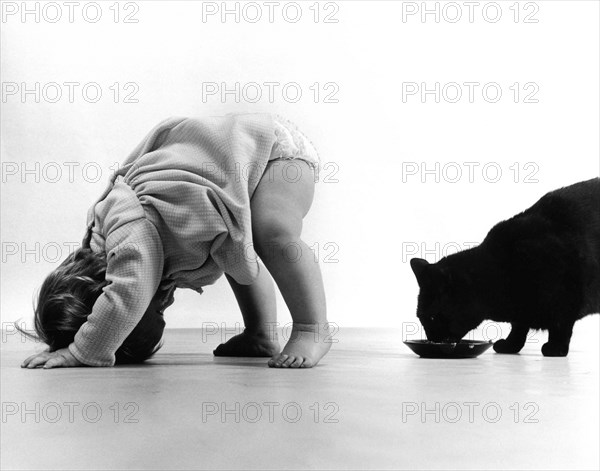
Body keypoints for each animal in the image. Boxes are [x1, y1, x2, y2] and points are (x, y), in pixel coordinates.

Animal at [410, 179, 596, 356]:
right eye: (421, 317)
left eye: (431, 317)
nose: (431, 339)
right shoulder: (522, 307)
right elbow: (519, 326)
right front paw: (511, 344)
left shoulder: (567, 296)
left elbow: (560, 326)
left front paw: (556, 348)